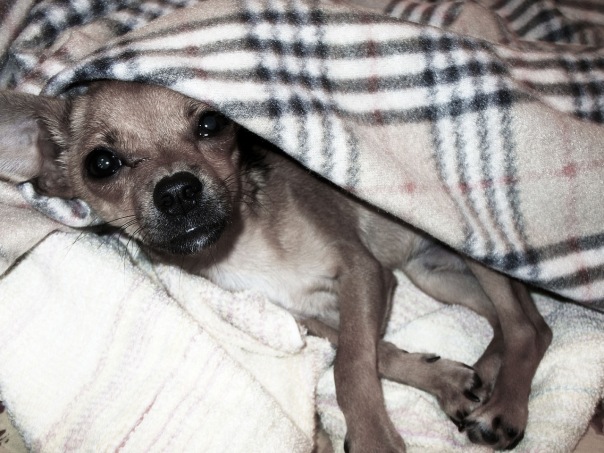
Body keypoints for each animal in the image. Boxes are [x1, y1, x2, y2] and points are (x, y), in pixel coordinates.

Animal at [0, 81, 552, 452]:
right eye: (101, 164)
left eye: (212, 123)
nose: (177, 190)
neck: (242, 247)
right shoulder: (306, 315)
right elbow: (371, 352)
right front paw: (444, 379)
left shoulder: (364, 272)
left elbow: (351, 366)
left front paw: (374, 437)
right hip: (435, 273)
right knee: (520, 324)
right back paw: (482, 378)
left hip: (473, 253)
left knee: (527, 327)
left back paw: (503, 408)